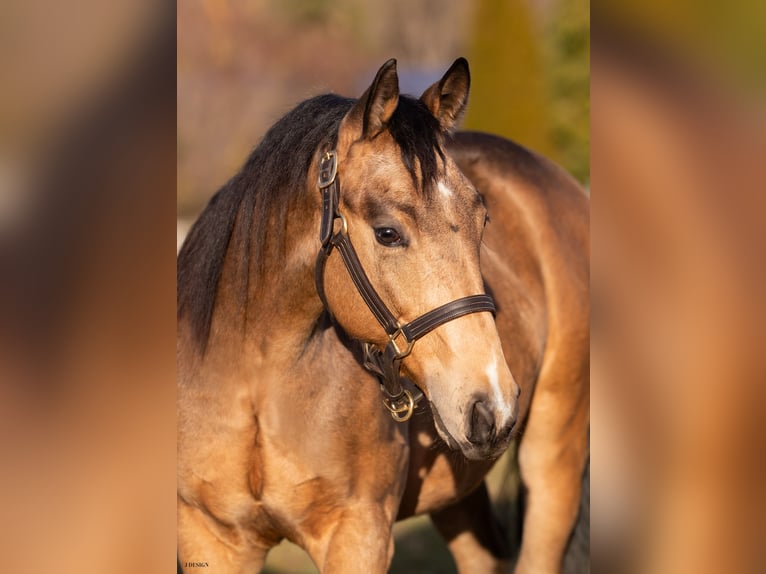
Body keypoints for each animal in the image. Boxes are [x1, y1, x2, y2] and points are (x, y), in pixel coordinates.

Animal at [177, 58, 589, 573]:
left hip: (554, 457)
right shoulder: (211, 537)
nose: (492, 406)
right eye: (387, 232)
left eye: (483, 222)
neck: (256, 382)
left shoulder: (359, 534)